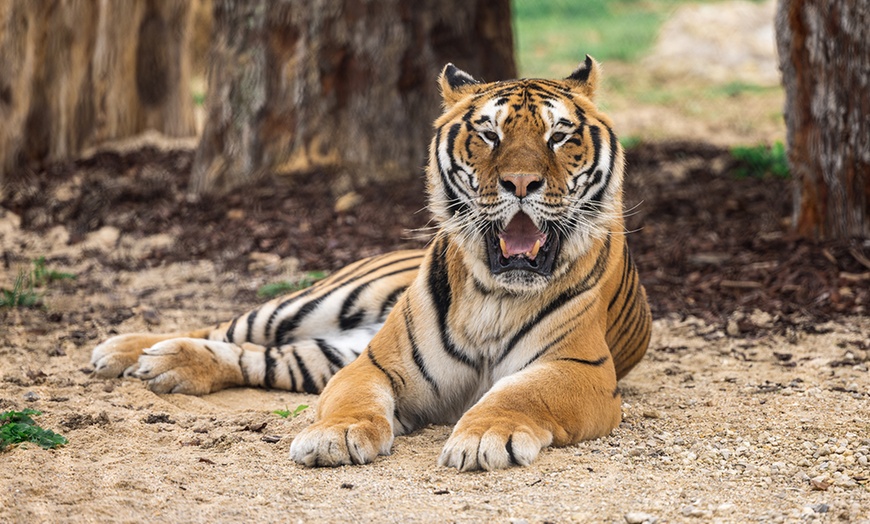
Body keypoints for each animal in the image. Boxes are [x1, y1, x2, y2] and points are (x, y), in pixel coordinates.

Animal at [92, 56, 652, 470]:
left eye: (560, 136)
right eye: (488, 134)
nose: (520, 182)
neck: (495, 294)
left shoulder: (578, 369)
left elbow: (518, 396)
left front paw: (484, 437)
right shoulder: (376, 362)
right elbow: (352, 400)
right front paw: (333, 437)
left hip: (323, 352)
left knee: (260, 356)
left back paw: (166, 364)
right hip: (316, 304)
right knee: (228, 327)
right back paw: (130, 350)